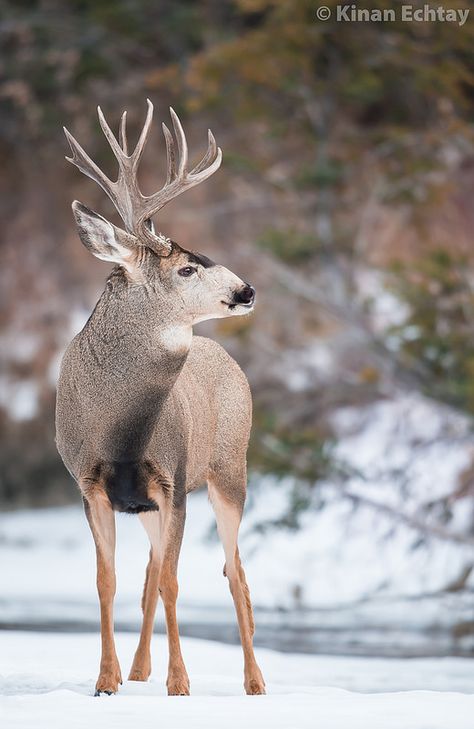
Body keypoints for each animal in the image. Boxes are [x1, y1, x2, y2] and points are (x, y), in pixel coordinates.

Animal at [55, 99, 266, 696]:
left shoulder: (174, 479)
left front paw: (180, 684)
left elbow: (175, 581)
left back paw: (255, 682)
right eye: (186, 267)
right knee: (153, 570)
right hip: (148, 503)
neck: (121, 428)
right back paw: (138, 669)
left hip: (229, 470)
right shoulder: (90, 483)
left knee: (235, 572)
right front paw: (106, 682)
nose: (247, 290)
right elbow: (107, 581)